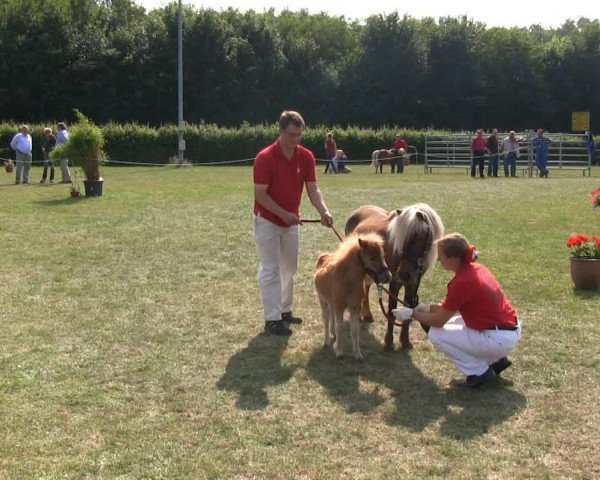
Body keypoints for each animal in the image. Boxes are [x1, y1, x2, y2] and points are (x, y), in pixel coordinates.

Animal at [314, 232, 394, 360]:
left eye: (383, 256)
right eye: (372, 257)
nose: (388, 277)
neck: (348, 281)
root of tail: (324, 256)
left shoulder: (356, 306)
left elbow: (355, 330)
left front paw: (357, 354)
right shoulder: (339, 307)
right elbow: (340, 327)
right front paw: (339, 353)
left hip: (332, 303)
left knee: (331, 317)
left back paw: (333, 334)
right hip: (323, 301)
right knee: (326, 318)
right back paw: (326, 342)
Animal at [342, 202, 446, 348]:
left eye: (419, 236)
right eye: (401, 239)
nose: (404, 274)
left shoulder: (413, 284)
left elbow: (409, 310)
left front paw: (405, 341)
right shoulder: (394, 282)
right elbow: (391, 310)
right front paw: (389, 343)